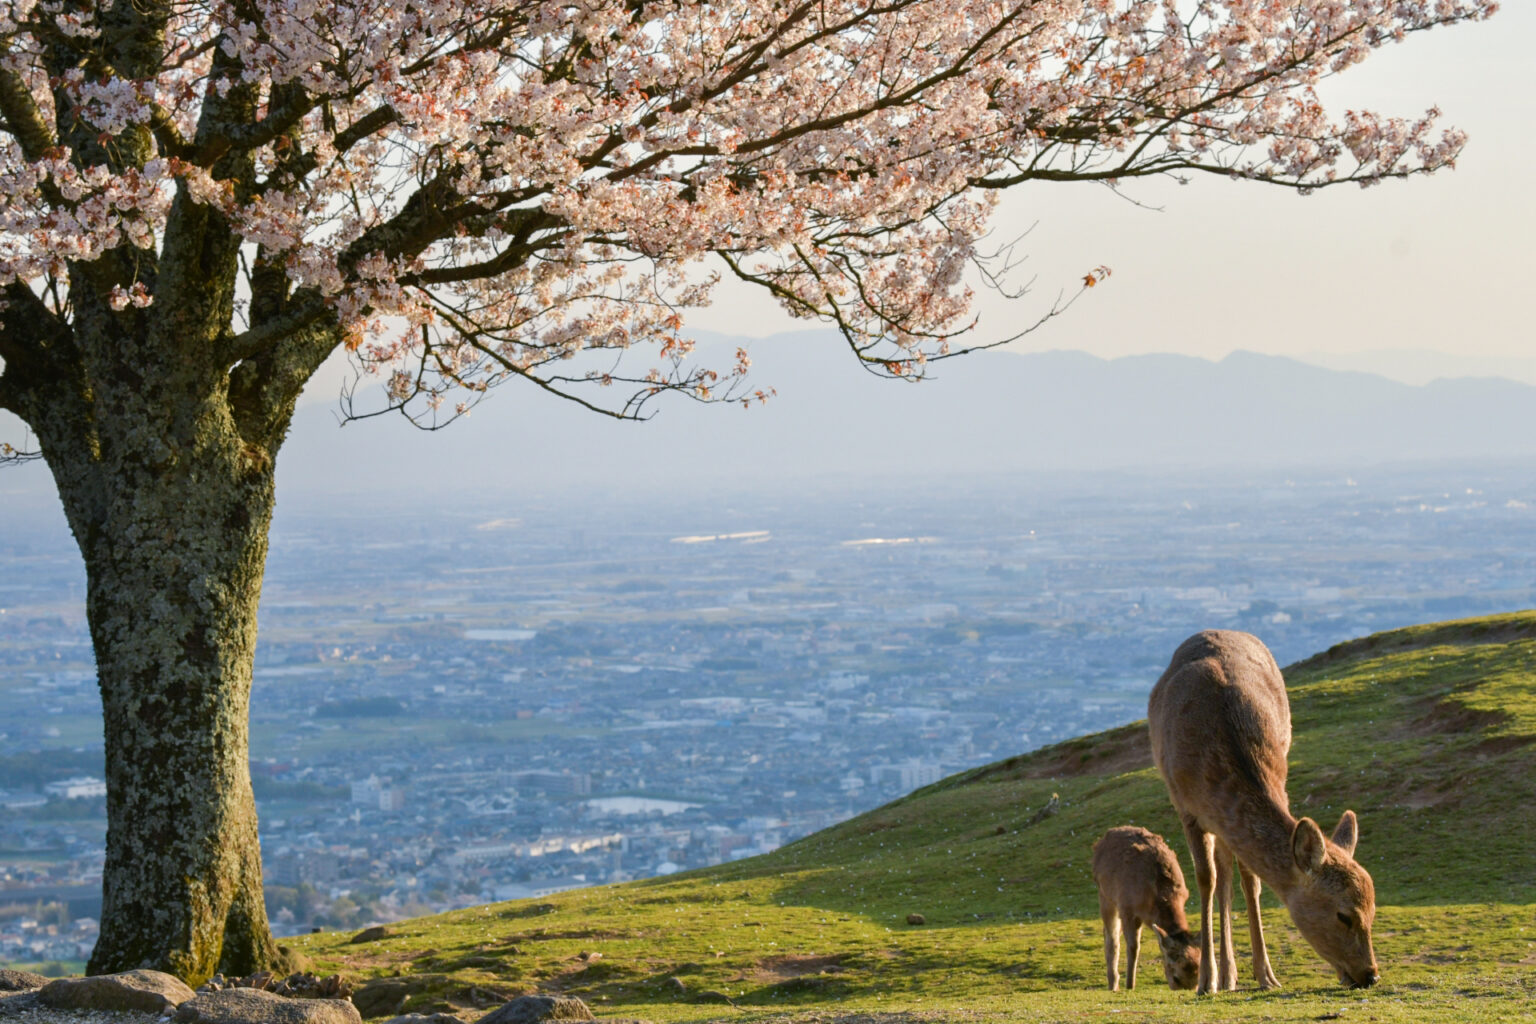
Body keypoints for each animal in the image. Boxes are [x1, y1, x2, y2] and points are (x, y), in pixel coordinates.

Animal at [1091, 825, 1201, 991]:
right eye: (1176, 977)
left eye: (1197, 979)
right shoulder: (1127, 907)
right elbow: (1133, 947)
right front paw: (1130, 986)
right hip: (1104, 894)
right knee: (1111, 937)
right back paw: (1113, 984)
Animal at [1147, 630, 1379, 994]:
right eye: (1344, 915)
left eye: (1373, 910)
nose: (1371, 975)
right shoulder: (1186, 808)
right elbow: (1205, 880)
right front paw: (1205, 981)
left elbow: (1250, 881)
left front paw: (1267, 976)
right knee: (1220, 879)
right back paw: (1222, 977)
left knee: (1234, 878)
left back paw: (1235, 974)